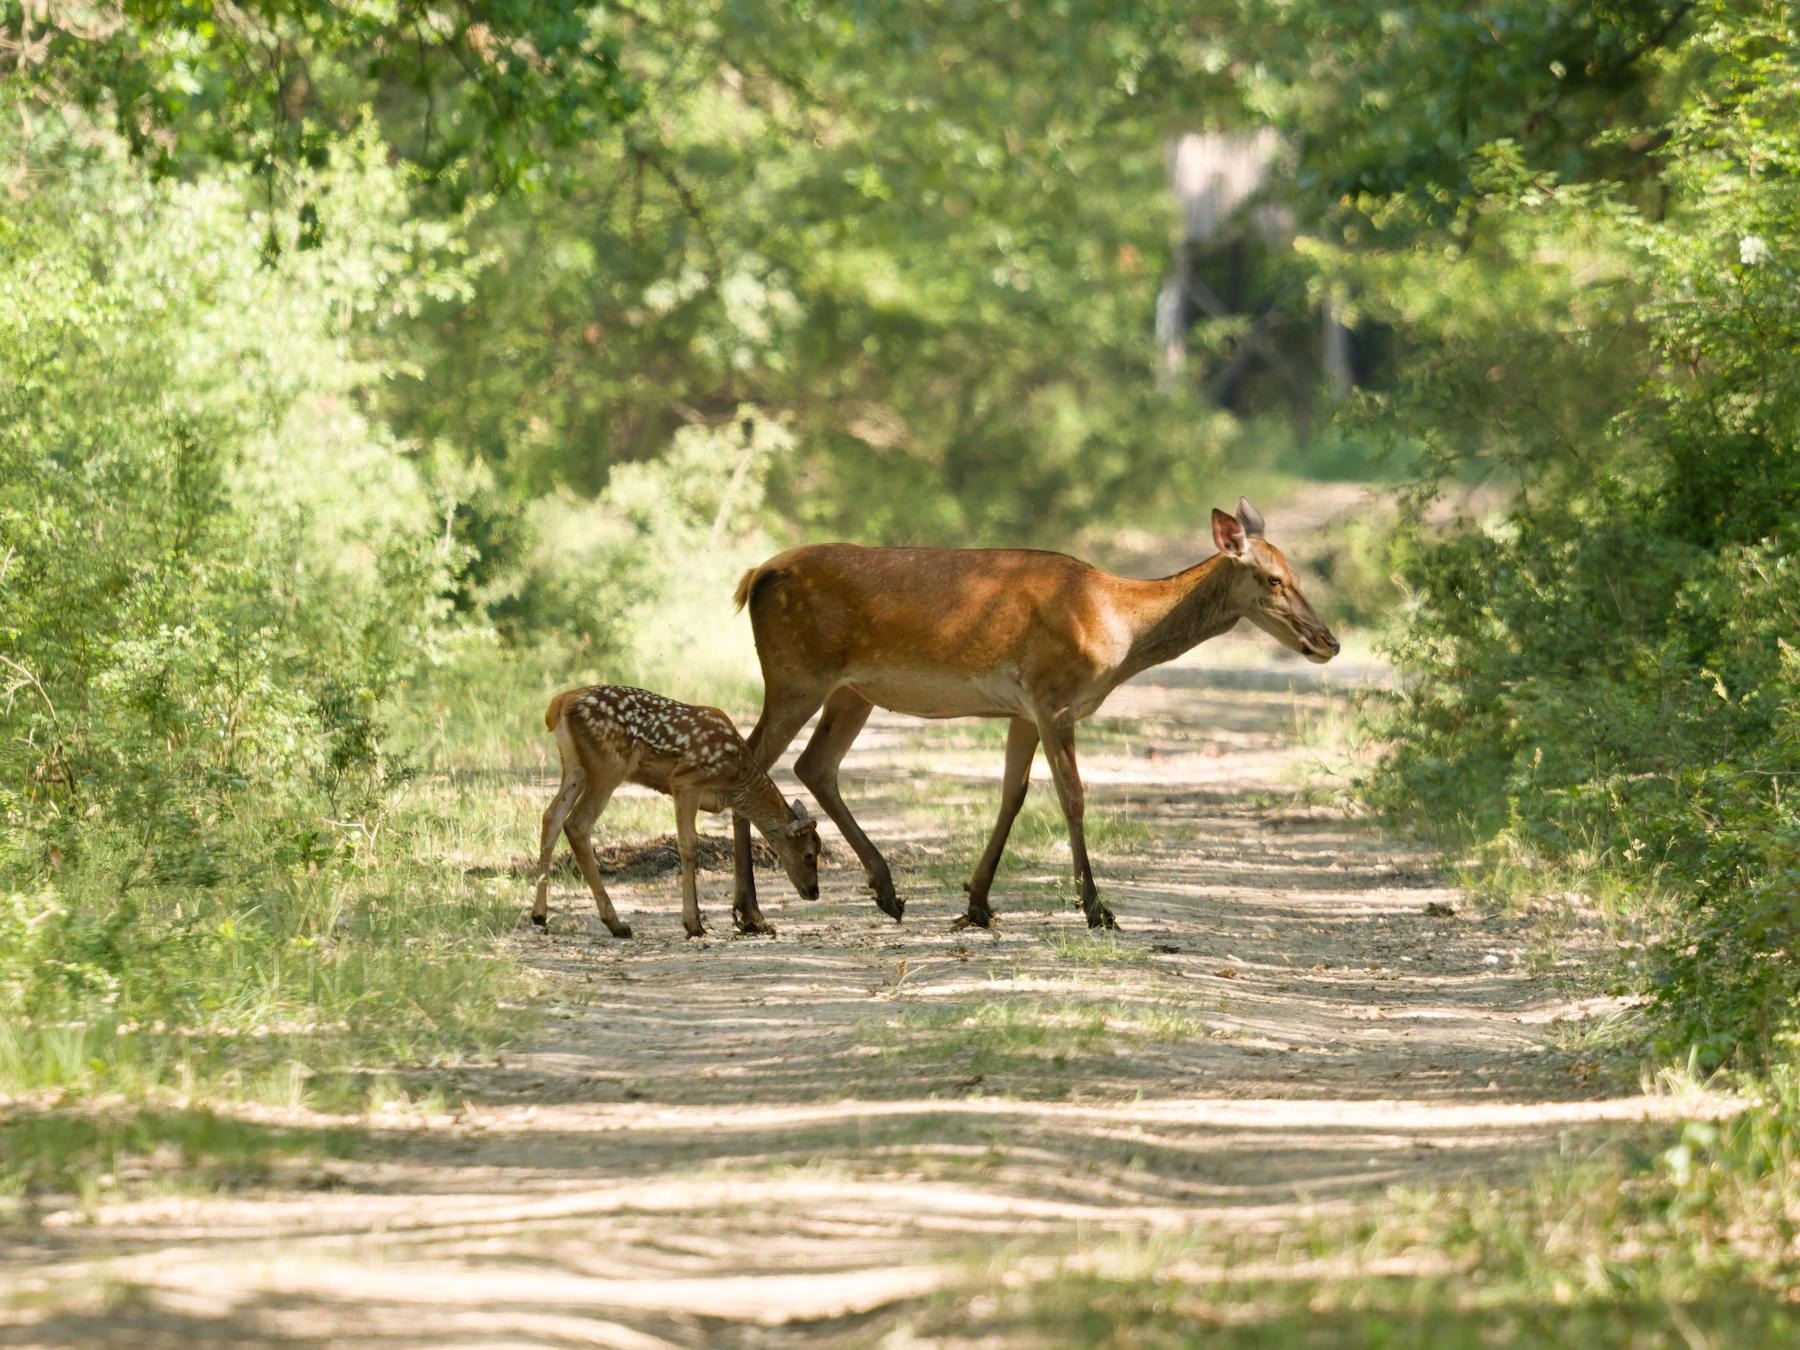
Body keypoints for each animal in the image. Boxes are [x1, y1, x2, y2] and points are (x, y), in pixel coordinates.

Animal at [533, 685, 822, 939]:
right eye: (808, 854)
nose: (814, 892)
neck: (737, 781)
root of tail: (559, 703)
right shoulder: (685, 781)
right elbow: (688, 847)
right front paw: (693, 924)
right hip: (608, 765)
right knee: (577, 824)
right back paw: (616, 924)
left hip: (574, 766)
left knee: (551, 817)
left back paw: (539, 915)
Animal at [724, 496, 1338, 934]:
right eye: (1274, 579)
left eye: (1298, 574)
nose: (1328, 641)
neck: (1115, 625)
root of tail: (754, 576)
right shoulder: (1053, 696)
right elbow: (1073, 796)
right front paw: (1096, 909)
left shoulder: (1021, 711)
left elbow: (1011, 796)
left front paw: (977, 904)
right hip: (796, 677)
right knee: (751, 761)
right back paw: (750, 914)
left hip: (852, 690)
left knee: (814, 765)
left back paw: (885, 891)